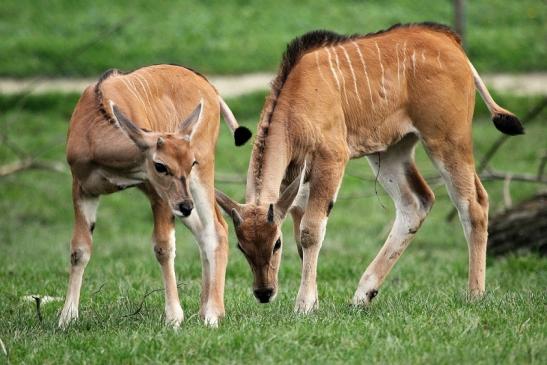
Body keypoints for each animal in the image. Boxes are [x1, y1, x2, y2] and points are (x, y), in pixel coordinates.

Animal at [58, 63, 252, 328]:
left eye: (190, 162)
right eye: (160, 165)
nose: (186, 205)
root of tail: (209, 88)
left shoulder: (156, 193)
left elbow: (163, 247)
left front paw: (174, 317)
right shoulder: (82, 188)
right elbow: (79, 249)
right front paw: (67, 318)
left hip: (200, 179)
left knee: (217, 229)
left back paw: (213, 314)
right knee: (204, 230)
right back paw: (204, 311)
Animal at [216, 22, 524, 312]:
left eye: (276, 243)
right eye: (241, 246)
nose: (264, 292)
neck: (296, 100)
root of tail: (451, 41)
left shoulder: (331, 159)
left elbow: (310, 232)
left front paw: (304, 306)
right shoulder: (298, 179)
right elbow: (301, 235)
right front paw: (314, 302)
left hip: (447, 140)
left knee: (474, 204)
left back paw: (475, 294)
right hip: (388, 152)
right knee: (416, 203)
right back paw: (362, 295)